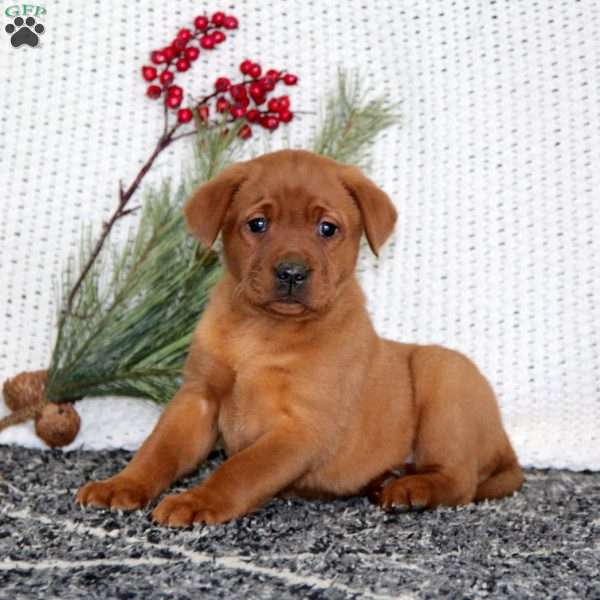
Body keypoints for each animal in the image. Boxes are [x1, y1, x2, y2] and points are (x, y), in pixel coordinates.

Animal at [77, 149, 524, 524]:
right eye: (258, 224)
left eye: (327, 228)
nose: (292, 271)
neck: (261, 332)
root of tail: (506, 446)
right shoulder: (197, 399)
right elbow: (158, 449)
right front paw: (122, 485)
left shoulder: (302, 427)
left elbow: (239, 469)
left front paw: (196, 501)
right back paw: (388, 478)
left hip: (444, 373)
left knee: (460, 480)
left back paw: (411, 488)